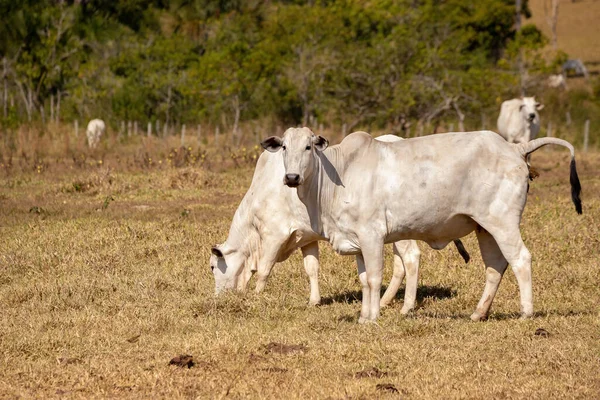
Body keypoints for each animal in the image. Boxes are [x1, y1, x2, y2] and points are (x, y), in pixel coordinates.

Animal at [211, 134, 468, 312]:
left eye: (213, 267)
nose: (217, 297)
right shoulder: (307, 237)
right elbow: (311, 268)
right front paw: (314, 300)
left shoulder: (274, 234)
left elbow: (264, 269)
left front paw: (256, 297)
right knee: (399, 265)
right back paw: (385, 300)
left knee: (411, 258)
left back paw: (404, 306)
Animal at [258, 126, 580, 324]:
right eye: (284, 147)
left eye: (309, 147)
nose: (291, 177)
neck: (339, 175)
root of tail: (514, 148)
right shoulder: (357, 242)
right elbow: (364, 280)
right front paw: (363, 315)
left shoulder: (372, 236)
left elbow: (374, 278)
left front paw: (372, 317)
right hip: (485, 228)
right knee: (495, 266)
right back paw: (478, 313)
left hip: (503, 223)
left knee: (520, 259)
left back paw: (526, 312)